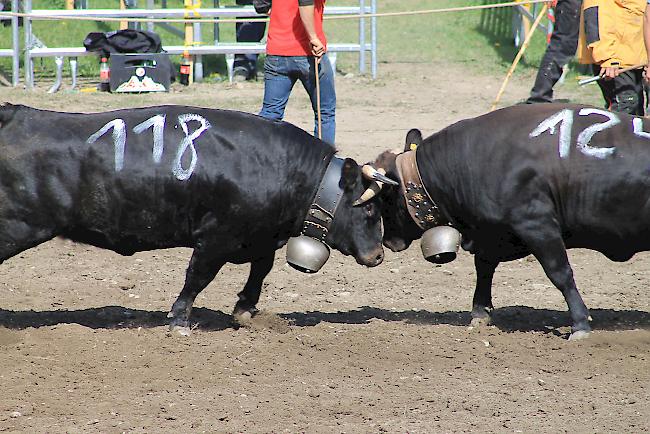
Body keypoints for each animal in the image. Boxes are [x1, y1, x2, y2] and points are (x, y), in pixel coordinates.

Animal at [0, 103, 388, 334]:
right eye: (369, 208)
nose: (378, 255)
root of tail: (18, 114)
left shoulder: (260, 237)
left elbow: (261, 269)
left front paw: (245, 308)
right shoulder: (216, 238)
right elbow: (198, 277)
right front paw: (180, 319)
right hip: (16, 226)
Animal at [362, 104, 650, 340]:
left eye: (385, 199)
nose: (388, 241)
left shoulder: (537, 226)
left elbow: (560, 273)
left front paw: (579, 323)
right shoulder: (493, 234)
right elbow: (484, 267)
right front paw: (480, 312)